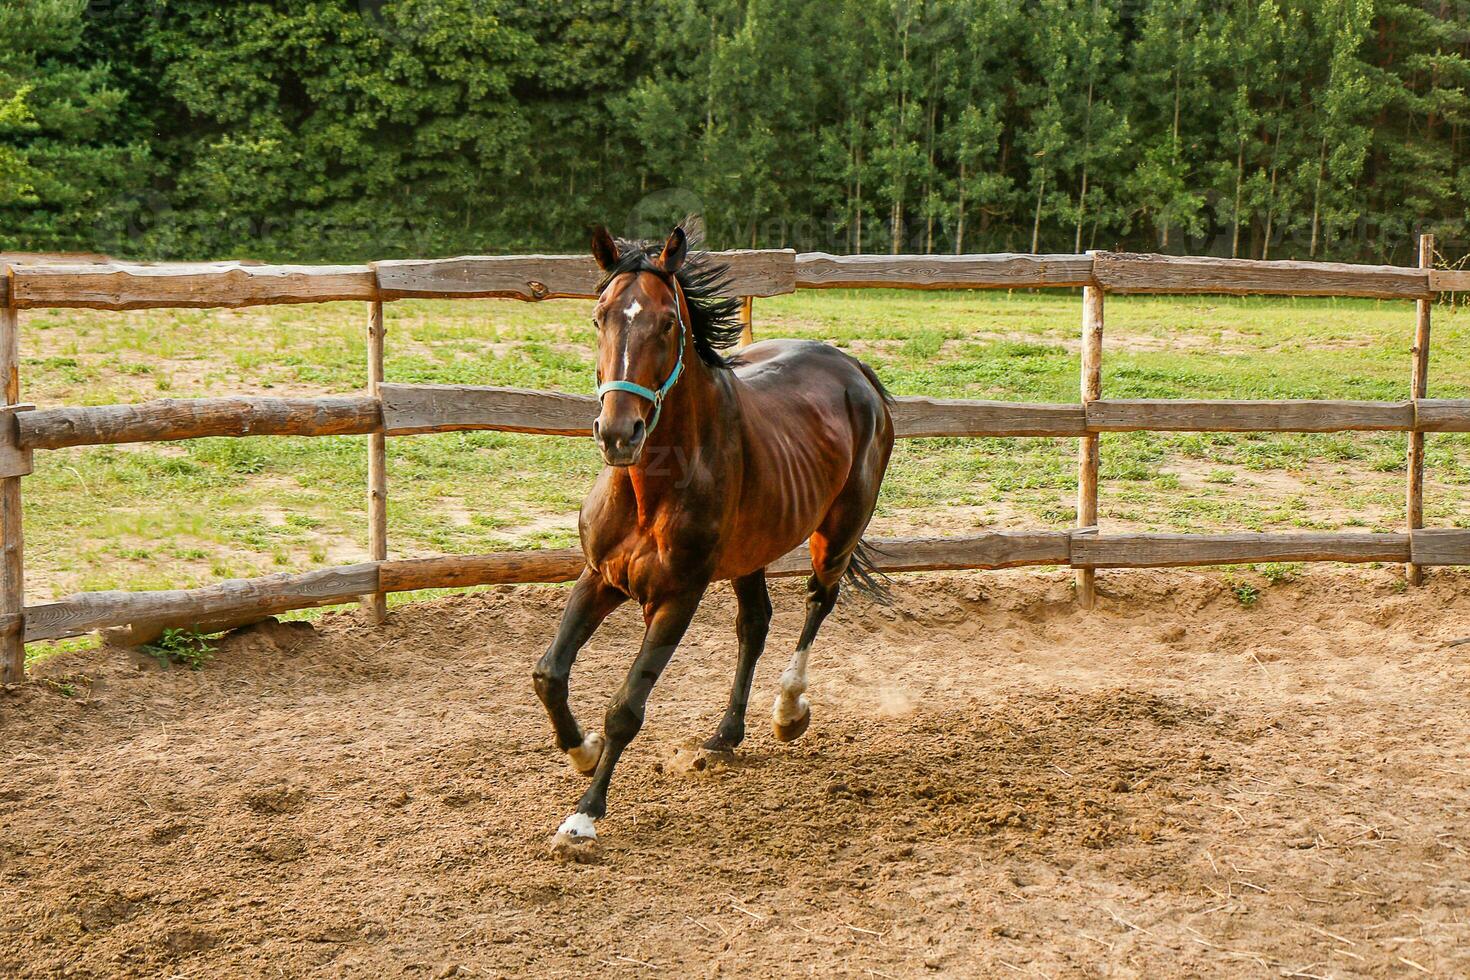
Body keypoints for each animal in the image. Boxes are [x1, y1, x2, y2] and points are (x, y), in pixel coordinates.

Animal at [535, 224, 887, 858]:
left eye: (666, 323)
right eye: (599, 317)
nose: (618, 433)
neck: (652, 484)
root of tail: (855, 370)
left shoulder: (678, 597)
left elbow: (627, 706)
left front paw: (583, 816)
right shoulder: (600, 576)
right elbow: (550, 674)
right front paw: (583, 752)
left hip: (837, 534)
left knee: (817, 603)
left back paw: (787, 711)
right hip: (751, 552)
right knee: (755, 624)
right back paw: (726, 734)